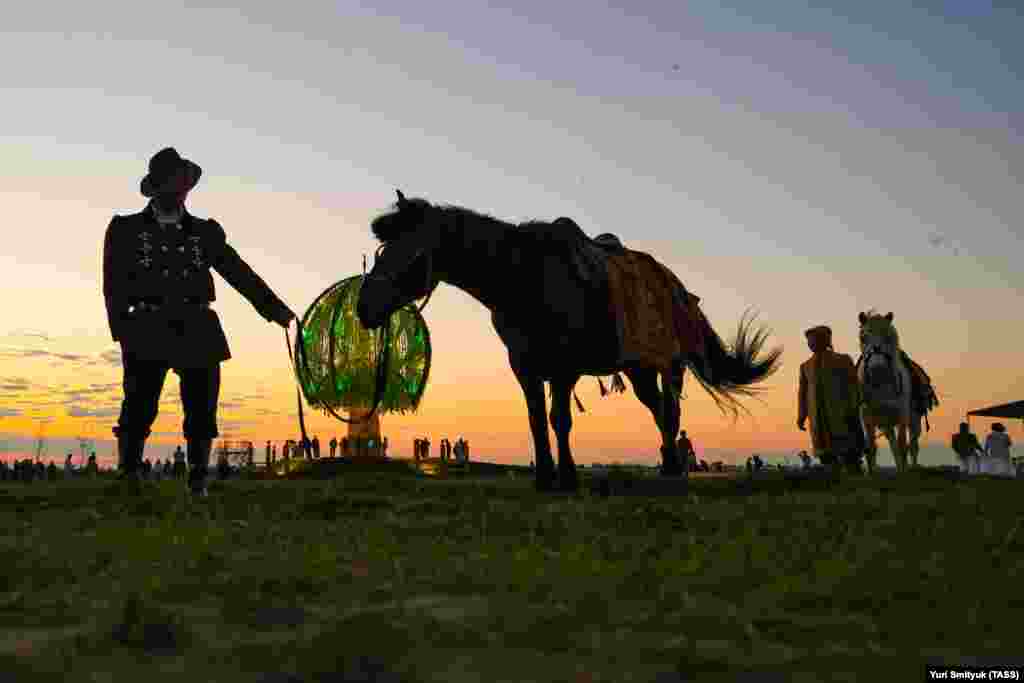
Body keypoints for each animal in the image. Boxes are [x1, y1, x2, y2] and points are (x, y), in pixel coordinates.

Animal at [356, 191, 778, 491]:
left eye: (408, 252)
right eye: (381, 251)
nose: (364, 306)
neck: (524, 277)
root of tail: (679, 290)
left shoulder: (564, 368)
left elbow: (560, 420)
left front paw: (568, 477)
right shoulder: (525, 367)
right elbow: (536, 420)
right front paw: (545, 477)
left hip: (670, 365)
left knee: (671, 410)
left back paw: (674, 471)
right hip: (639, 370)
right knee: (658, 409)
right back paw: (669, 465)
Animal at [856, 311, 921, 475]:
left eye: (888, 336)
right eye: (863, 337)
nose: (877, 365)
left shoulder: (902, 414)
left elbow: (903, 444)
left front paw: (904, 473)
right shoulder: (867, 417)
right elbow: (871, 446)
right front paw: (872, 473)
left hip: (914, 420)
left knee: (913, 445)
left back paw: (912, 468)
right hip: (887, 425)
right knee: (893, 445)